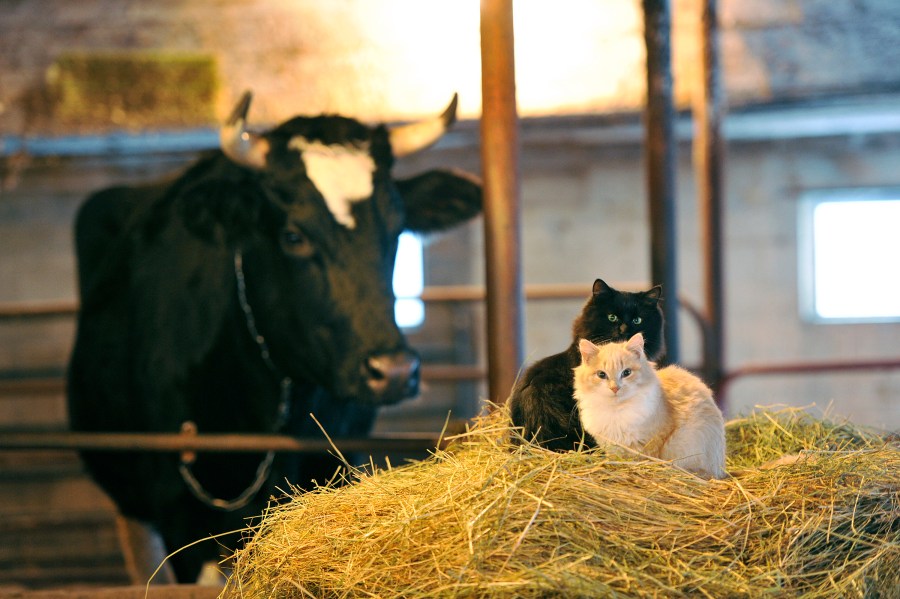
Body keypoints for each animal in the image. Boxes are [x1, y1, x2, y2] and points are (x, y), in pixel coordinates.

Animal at [572, 332, 728, 478]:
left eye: (626, 372)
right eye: (601, 375)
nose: (615, 388)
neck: (616, 410)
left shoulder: (649, 444)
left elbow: (643, 460)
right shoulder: (611, 446)